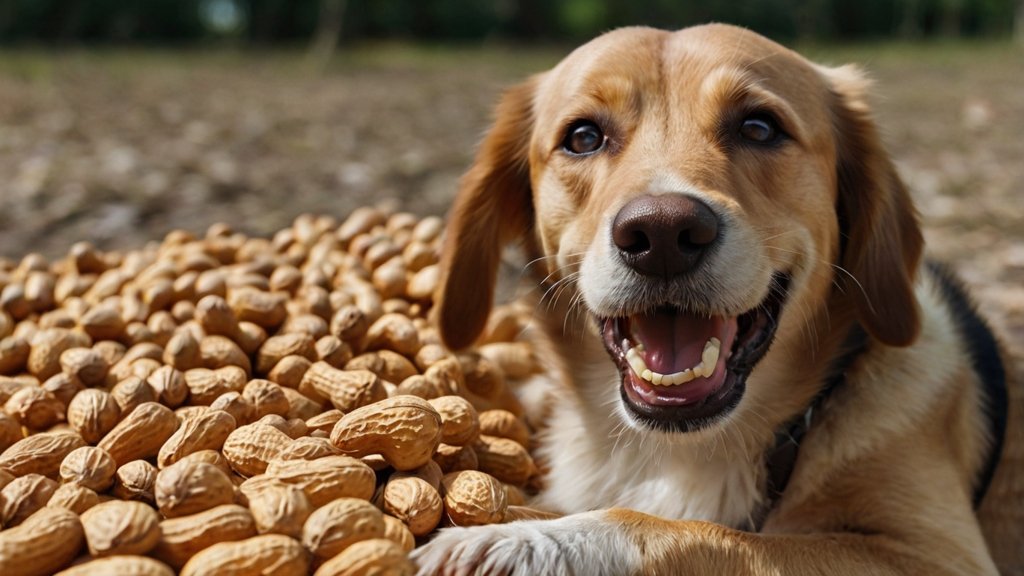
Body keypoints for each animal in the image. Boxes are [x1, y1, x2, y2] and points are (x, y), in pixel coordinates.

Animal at [411, 23, 1019, 573]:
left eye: (759, 127)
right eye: (583, 137)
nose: (661, 235)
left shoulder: (936, 555)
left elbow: (696, 532)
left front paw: (527, 541)